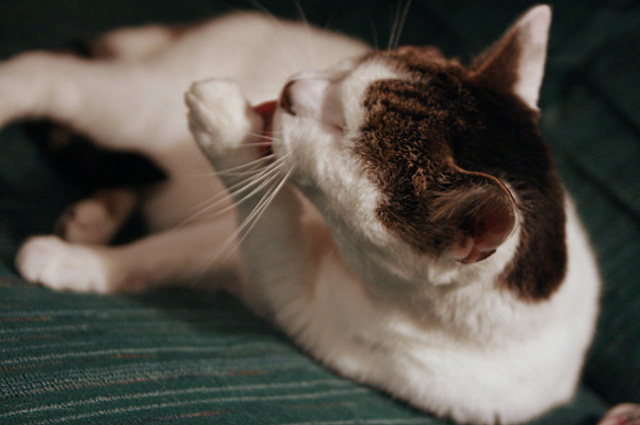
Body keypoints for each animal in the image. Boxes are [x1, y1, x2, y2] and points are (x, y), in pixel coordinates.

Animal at [0, 5, 600, 424]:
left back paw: (96, 215)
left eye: (340, 128)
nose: (290, 88)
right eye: (355, 65)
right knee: (49, 74)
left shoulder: (285, 298)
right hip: (135, 107)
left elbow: (168, 254)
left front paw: (76, 262)